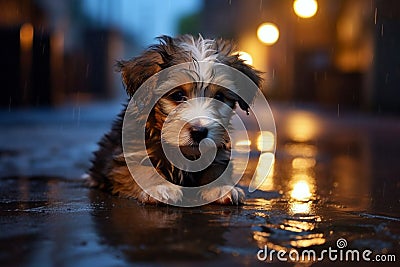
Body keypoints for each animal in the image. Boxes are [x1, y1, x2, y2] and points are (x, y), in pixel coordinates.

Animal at [86, 35, 262, 205]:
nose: (199, 132)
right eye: (178, 95)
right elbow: (139, 167)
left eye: (219, 97)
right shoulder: (126, 152)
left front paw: (221, 187)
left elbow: (216, 166)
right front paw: (159, 186)